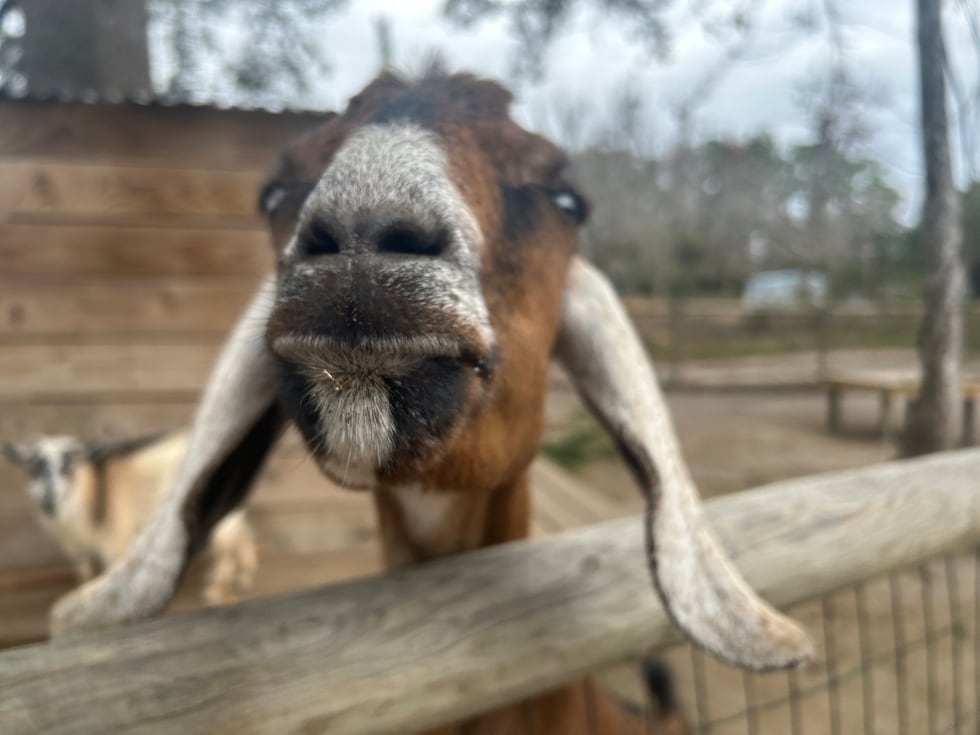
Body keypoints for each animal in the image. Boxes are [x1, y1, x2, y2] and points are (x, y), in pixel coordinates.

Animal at [3, 432, 256, 606]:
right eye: (33, 468)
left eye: (69, 466)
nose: (48, 499)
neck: (92, 491)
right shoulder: (79, 549)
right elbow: (85, 574)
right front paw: (82, 595)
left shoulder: (115, 542)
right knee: (240, 532)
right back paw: (242, 575)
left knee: (227, 544)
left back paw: (217, 591)